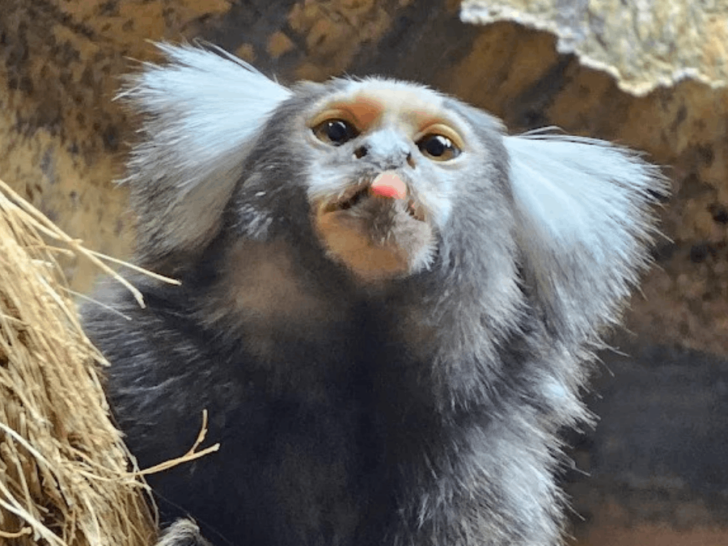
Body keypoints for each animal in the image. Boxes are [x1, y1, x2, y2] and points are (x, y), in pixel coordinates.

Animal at [81, 43, 667, 546]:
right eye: (338, 131)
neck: (347, 389)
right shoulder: (142, 358)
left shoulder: (490, 470)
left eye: (435, 148)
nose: (385, 156)